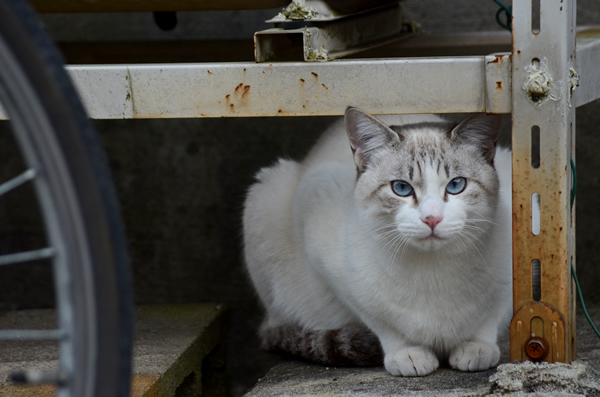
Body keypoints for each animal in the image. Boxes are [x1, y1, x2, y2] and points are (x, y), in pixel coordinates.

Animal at [241, 107, 512, 374]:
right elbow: (382, 322)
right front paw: (407, 354)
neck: (434, 272)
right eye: (401, 188)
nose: (432, 219)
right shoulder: (330, 259)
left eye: (456, 185)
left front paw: (477, 348)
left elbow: (491, 316)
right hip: (268, 191)